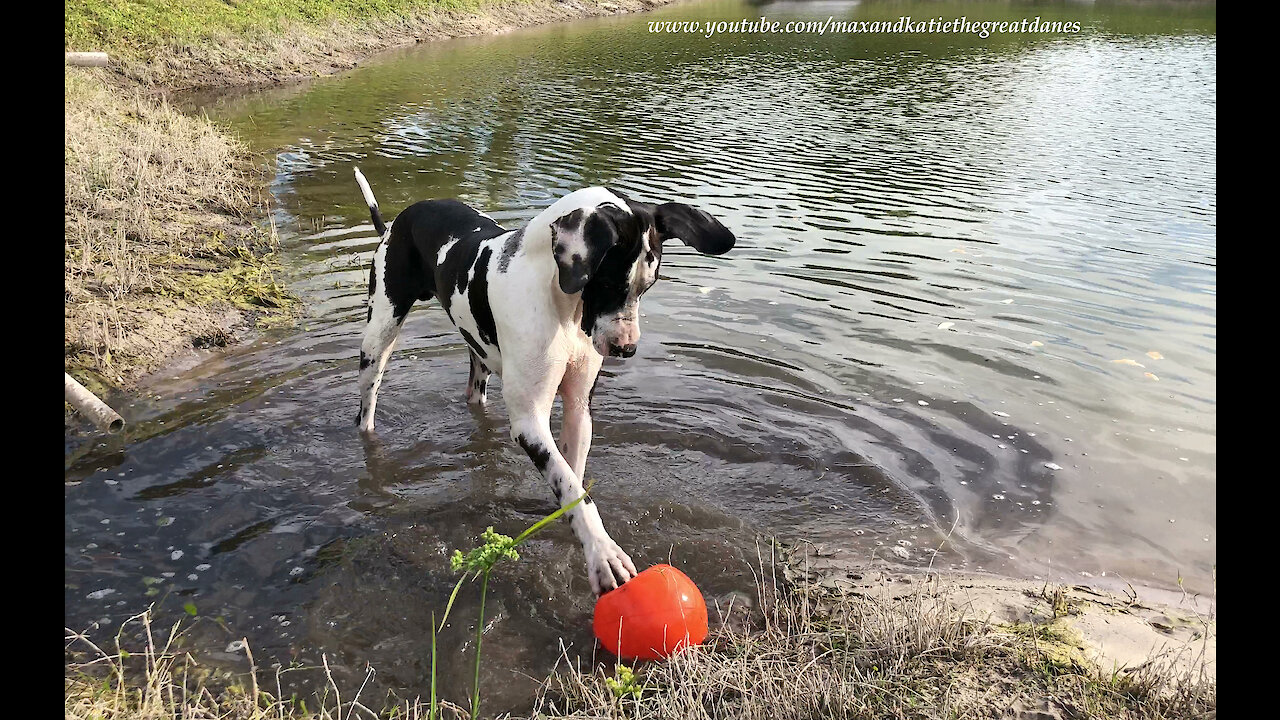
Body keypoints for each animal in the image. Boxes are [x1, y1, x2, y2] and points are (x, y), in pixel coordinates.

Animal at [355, 169, 737, 594]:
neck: (563, 305)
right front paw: (603, 553)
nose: (626, 348)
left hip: (478, 357)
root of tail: (397, 221)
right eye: (609, 283)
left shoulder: (578, 407)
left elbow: (573, 477)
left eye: (646, 287)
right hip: (379, 338)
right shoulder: (529, 422)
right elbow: (571, 485)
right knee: (367, 404)